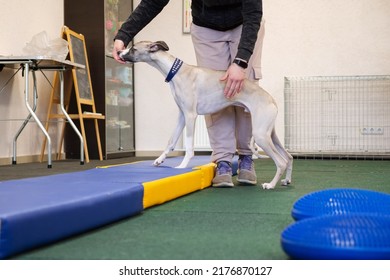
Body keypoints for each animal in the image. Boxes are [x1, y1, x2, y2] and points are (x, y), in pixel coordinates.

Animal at [119, 40, 292, 189]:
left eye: (133, 49)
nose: (119, 52)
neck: (176, 71)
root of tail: (272, 100)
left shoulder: (190, 115)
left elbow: (189, 147)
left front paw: (182, 166)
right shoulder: (182, 115)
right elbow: (171, 140)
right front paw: (159, 160)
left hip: (260, 135)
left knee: (281, 162)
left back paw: (270, 185)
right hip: (270, 134)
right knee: (288, 157)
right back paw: (286, 180)